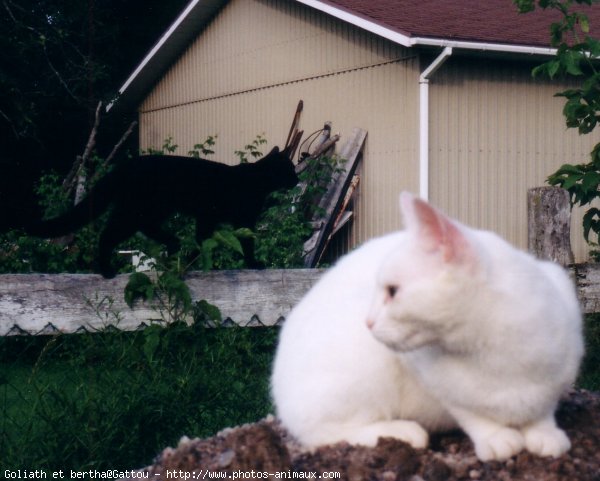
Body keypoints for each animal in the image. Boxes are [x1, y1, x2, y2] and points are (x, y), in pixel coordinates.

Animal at [27, 145, 298, 278]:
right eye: (291, 169)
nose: (297, 179)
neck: (256, 181)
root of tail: (125, 165)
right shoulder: (237, 218)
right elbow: (246, 244)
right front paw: (254, 263)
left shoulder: (208, 216)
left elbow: (203, 239)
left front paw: (194, 261)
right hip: (136, 210)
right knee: (108, 235)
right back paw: (107, 269)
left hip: (153, 210)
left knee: (144, 229)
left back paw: (173, 243)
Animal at [270, 191, 580, 462]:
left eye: (392, 291)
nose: (368, 321)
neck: (495, 352)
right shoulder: (443, 389)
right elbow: (475, 416)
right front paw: (499, 441)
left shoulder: (550, 387)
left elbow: (542, 414)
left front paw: (547, 438)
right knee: (321, 433)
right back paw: (405, 433)